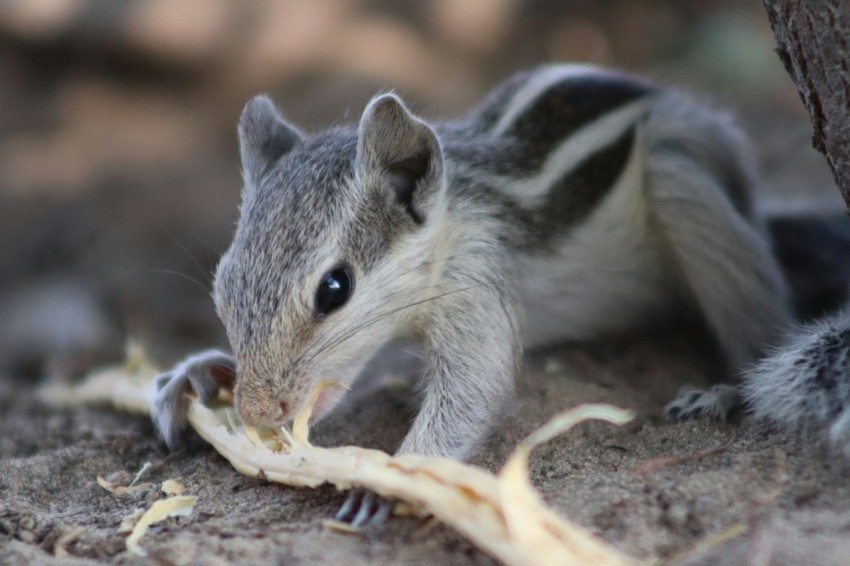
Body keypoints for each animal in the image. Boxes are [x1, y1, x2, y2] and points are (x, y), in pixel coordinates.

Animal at [152, 64, 795, 524]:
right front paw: (200, 372)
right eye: (222, 284)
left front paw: (394, 478)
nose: (258, 413)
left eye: (335, 288)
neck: (452, 218)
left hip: (680, 183)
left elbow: (472, 389)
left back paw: (723, 390)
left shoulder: (476, 283)